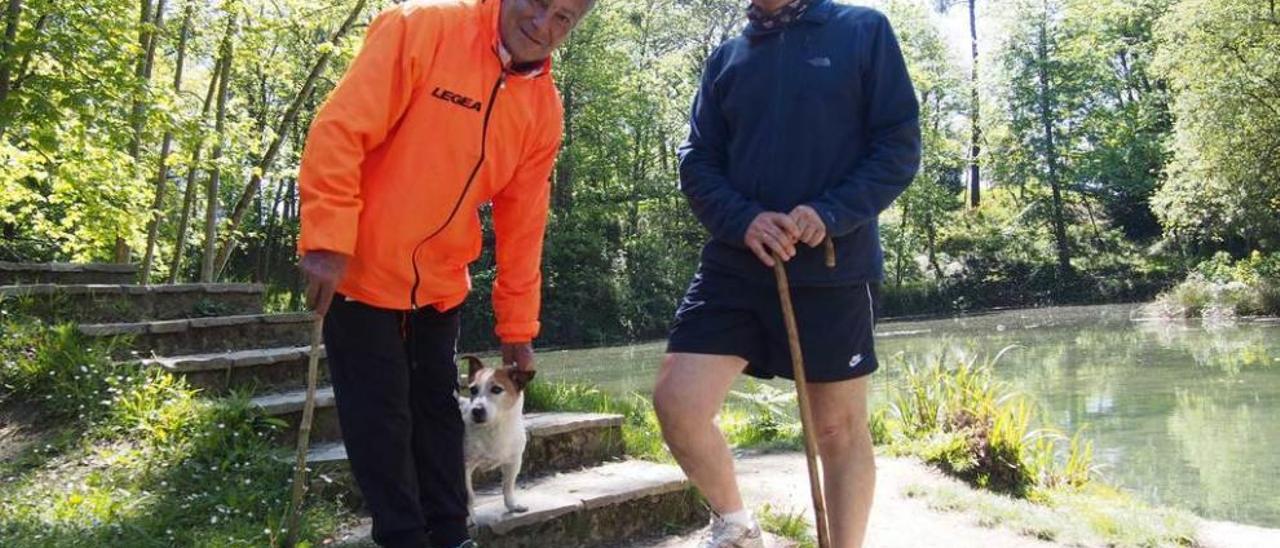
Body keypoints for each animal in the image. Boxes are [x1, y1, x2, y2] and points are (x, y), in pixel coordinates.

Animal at [458, 353, 532, 514]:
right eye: (473, 390)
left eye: (497, 389)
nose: (476, 410)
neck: (494, 428)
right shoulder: (465, 466)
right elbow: (469, 495)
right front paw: (469, 516)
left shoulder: (513, 462)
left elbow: (508, 486)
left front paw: (512, 505)